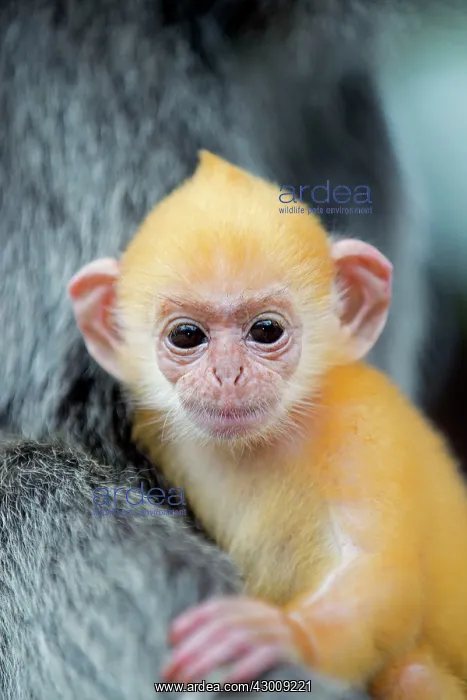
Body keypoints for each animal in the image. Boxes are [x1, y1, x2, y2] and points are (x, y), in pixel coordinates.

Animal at [69, 151, 467, 698]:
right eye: (187, 336)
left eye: (265, 330)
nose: (227, 374)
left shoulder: (363, 421)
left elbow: (380, 574)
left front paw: (283, 634)